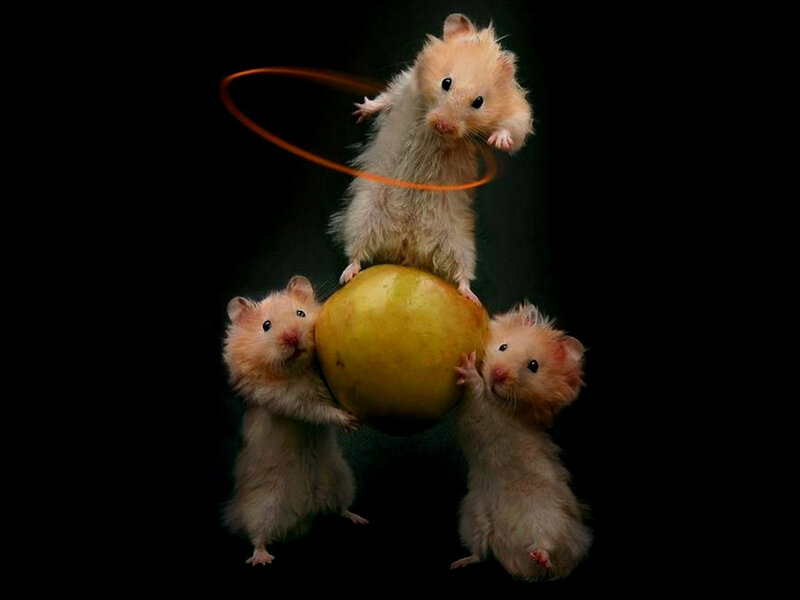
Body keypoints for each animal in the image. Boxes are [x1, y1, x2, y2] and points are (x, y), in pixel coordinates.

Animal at [223, 275, 367, 565]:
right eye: (266, 326)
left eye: (300, 313)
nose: (292, 337)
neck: (298, 370)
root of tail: (305, 515)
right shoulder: (288, 402)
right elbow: (318, 411)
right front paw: (351, 421)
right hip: (263, 504)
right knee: (258, 533)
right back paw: (261, 558)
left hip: (342, 480)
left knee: (340, 508)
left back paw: (358, 519)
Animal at [330, 13, 533, 304]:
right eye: (446, 82)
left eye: (479, 102)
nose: (443, 126)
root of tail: (407, 248)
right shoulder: (405, 84)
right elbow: (386, 98)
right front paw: (361, 111)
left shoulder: (515, 109)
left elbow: (513, 127)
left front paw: (498, 141)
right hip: (364, 213)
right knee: (356, 251)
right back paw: (348, 275)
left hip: (459, 241)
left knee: (462, 272)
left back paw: (470, 296)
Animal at [451, 302, 591, 580]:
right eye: (503, 347)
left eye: (533, 365)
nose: (498, 374)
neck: (503, 403)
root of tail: (512, 555)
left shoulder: (485, 409)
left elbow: (477, 389)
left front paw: (468, 368)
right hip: (473, 517)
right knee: (479, 552)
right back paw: (459, 563)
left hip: (547, 520)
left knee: (550, 549)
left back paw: (541, 558)